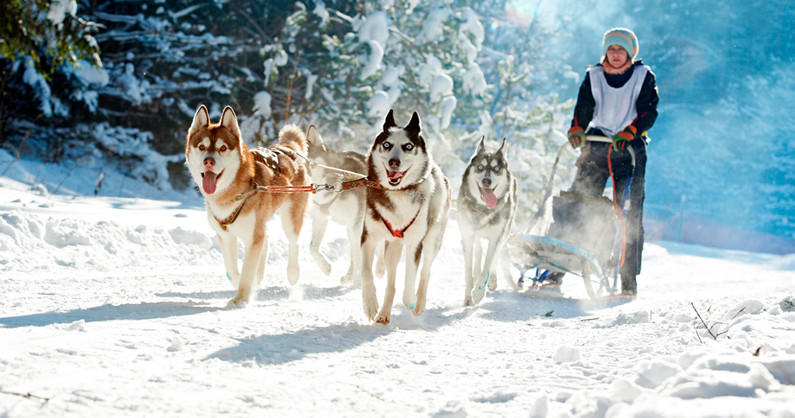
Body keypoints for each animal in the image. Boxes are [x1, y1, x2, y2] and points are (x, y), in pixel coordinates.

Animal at [187, 105, 310, 306]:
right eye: (202, 147)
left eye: (222, 147)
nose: (208, 161)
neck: (230, 195)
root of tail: (287, 149)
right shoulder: (225, 235)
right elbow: (233, 270)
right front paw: (246, 287)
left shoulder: (253, 236)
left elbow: (246, 270)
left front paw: (241, 299)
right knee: (266, 240)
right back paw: (259, 278)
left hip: (290, 217)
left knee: (294, 242)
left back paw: (293, 273)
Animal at [304, 125, 370, 286]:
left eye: (312, 162)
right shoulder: (321, 217)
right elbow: (313, 248)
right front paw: (325, 267)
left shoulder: (356, 223)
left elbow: (359, 255)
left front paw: (360, 281)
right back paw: (350, 276)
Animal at [362, 109, 450, 324]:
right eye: (387, 145)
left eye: (408, 146)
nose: (394, 162)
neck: (398, 193)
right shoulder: (369, 236)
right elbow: (366, 272)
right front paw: (370, 303)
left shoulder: (414, 244)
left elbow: (411, 279)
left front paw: (410, 301)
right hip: (391, 248)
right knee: (391, 282)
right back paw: (384, 312)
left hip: (432, 240)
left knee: (425, 272)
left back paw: (418, 303)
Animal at [458, 137, 520, 304]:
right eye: (480, 167)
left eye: (497, 169)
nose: (486, 181)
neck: (483, 208)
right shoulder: (467, 235)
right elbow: (468, 269)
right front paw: (468, 296)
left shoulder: (496, 237)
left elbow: (488, 263)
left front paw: (479, 291)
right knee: (478, 250)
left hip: (504, 233)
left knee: (496, 255)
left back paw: (491, 281)